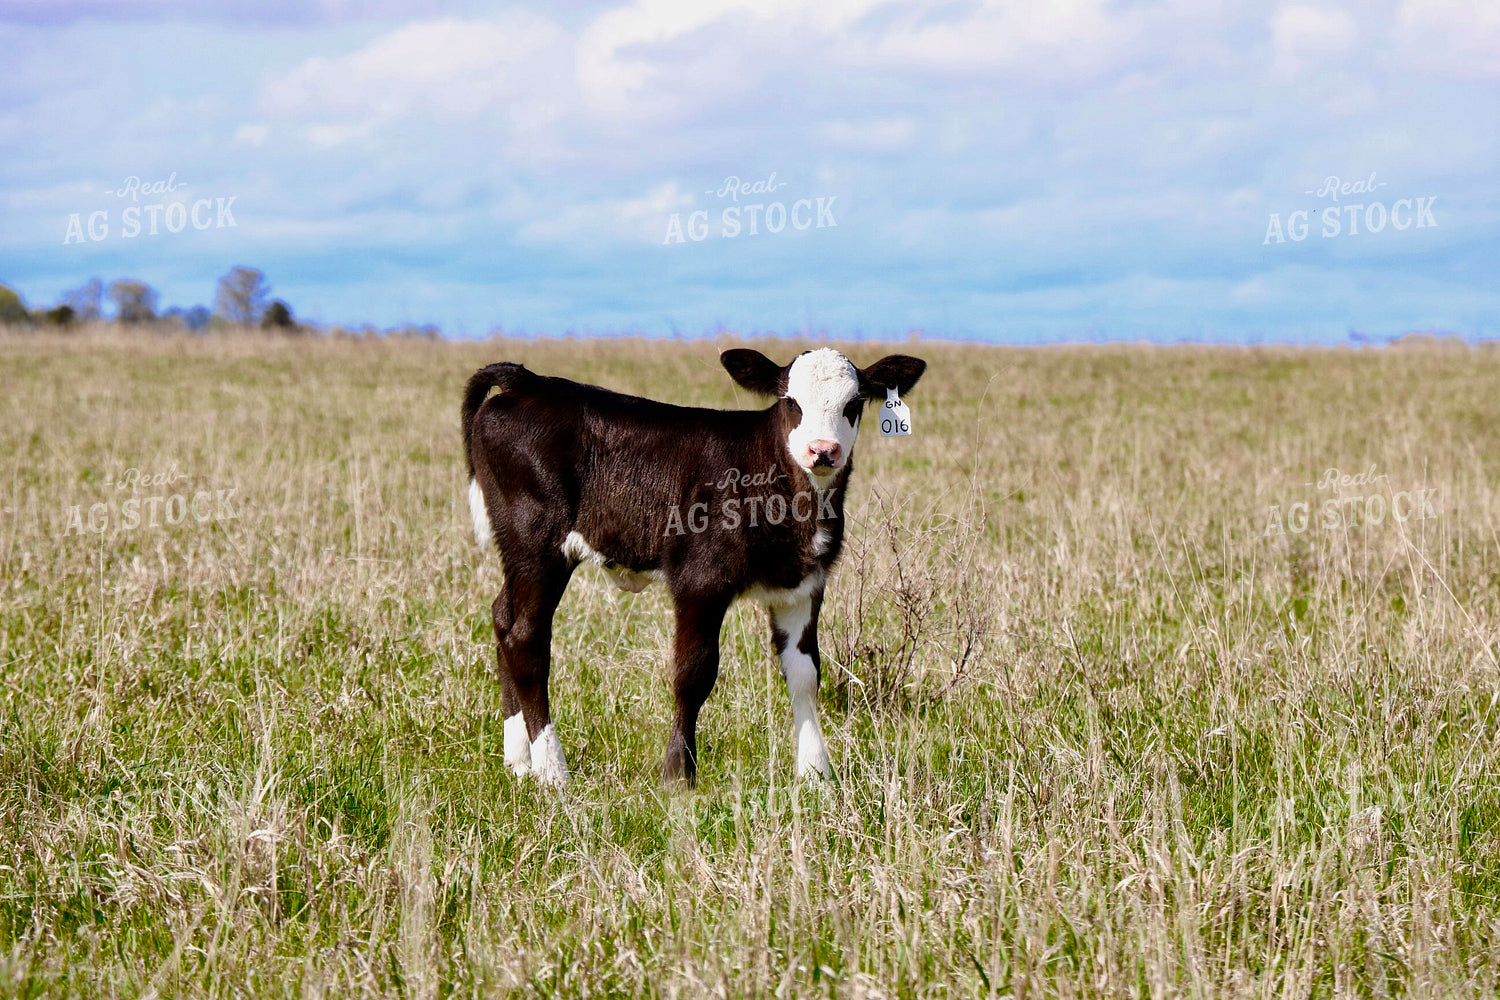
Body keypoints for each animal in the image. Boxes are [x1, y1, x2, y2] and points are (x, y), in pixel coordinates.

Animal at [462, 347, 926, 786]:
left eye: (854, 403)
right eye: (790, 402)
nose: (823, 451)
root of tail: (528, 381)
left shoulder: (804, 586)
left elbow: (805, 674)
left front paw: (815, 772)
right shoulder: (700, 579)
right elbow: (693, 673)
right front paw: (678, 774)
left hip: (519, 550)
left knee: (503, 618)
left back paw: (519, 761)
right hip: (538, 541)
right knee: (526, 638)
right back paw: (552, 769)